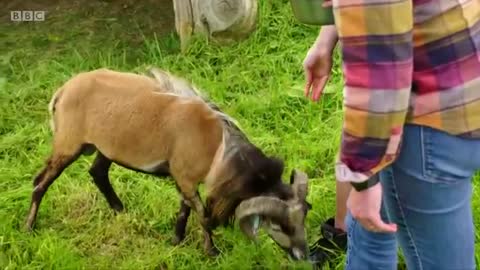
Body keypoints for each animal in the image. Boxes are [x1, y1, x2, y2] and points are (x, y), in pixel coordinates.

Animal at [25, 67, 312, 260]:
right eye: (278, 224)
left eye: (304, 218)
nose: (303, 255)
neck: (217, 145)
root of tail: (62, 92)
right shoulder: (185, 177)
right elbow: (203, 215)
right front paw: (212, 252)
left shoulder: (182, 178)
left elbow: (185, 208)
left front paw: (175, 239)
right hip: (67, 145)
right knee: (40, 182)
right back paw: (29, 227)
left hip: (105, 147)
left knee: (97, 172)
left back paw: (120, 210)